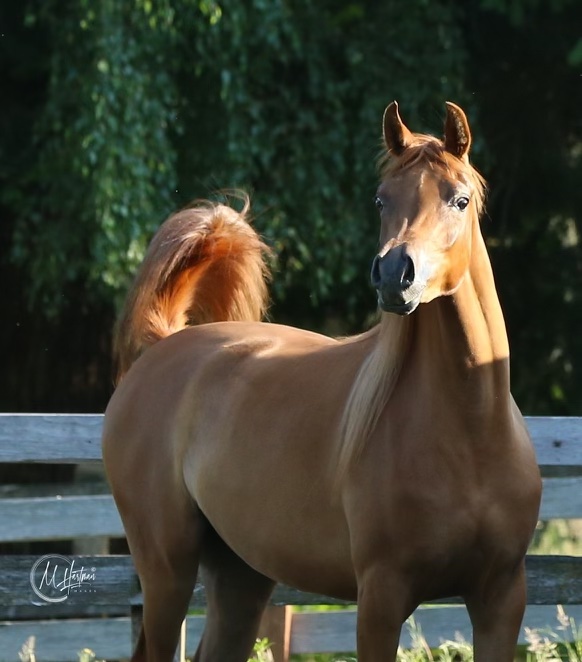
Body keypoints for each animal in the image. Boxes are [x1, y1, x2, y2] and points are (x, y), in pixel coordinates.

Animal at [102, 101, 542, 662]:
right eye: (381, 199)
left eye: (459, 200)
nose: (394, 274)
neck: (471, 433)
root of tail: (164, 346)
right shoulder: (380, 598)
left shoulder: (500, 599)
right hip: (167, 570)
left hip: (240, 576)